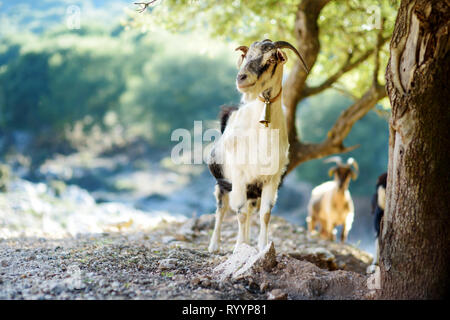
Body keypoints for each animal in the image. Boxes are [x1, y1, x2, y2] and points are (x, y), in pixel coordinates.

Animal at [207, 38, 310, 252]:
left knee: (249, 211)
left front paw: (262, 247)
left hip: (252, 191)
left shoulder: (271, 180)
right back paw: (214, 245)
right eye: (246, 55)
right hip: (222, 184)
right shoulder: (238, 177)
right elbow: (240, 213)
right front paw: (239, 247)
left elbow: (265, 215)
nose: (241, 78)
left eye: (271, 58)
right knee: (221, 210)